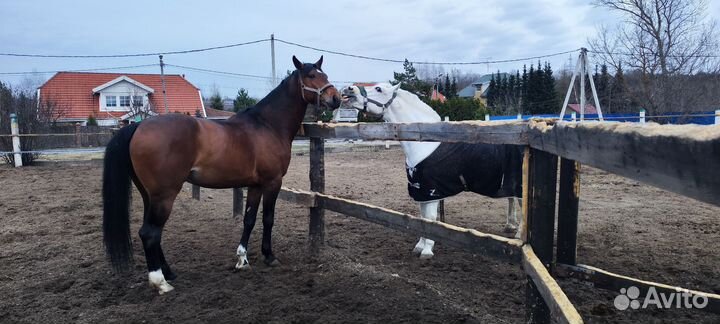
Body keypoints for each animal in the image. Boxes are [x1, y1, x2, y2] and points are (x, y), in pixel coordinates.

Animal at [102, 55, 342, 294]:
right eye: (311, 76)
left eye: (325, 75)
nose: (336, 98)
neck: (268, 125)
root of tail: (138, 127)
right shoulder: (273, 182)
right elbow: (268, 218)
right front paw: (269, 256)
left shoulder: (255, 185)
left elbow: (249, 219)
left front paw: (242, 259)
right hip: (164, 195)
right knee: (150, 233)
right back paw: (161, 282)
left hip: (149, 196)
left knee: (152, 232)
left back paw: (169, 272)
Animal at [340, 83, 520, 258]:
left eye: (378, 89)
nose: (349, 90)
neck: (425, 142)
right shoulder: (421, 191)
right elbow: (422, 218)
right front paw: (420, 246)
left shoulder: (432, 191)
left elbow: (431, 218)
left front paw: (427, 250)